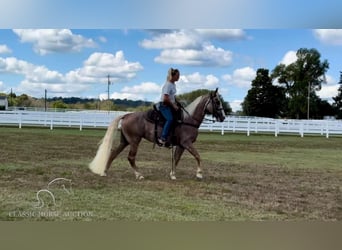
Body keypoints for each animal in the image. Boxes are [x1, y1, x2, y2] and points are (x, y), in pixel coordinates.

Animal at [89, 88, 226, 180]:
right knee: (131, 157)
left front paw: (172, 174)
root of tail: (126, 115)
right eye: (217, 101)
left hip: (125, 141)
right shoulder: (186, 143)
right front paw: (199, 174)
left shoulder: (181, 145)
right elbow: (197, 156)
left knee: (113, 154)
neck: (188, 120)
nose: (223, 117)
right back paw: (139, 175)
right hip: (134, 141)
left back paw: (104, 172)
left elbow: (176, 158)